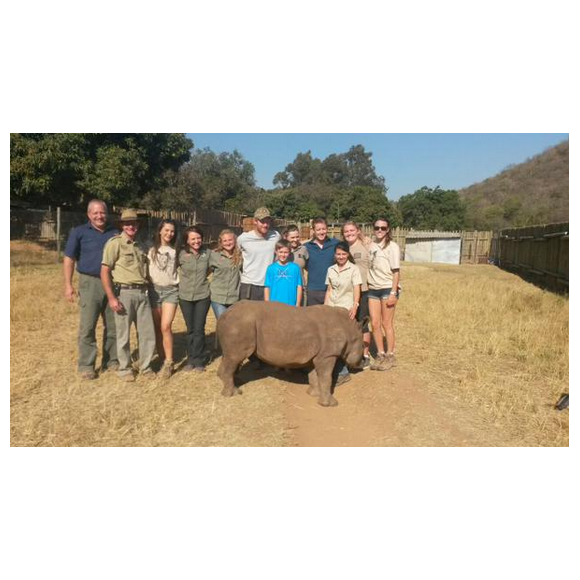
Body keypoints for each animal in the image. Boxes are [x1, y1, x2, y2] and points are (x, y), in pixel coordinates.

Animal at [219, 300, 368, 408]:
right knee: (235, 357)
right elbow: (326, 377)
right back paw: (233, 393)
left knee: (229, 357)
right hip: (239, 325)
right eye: (363, 346)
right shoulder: (327, 355)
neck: (350, 329)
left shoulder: (317, 355)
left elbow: (314, 375)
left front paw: (313, 394)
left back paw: (234, 385)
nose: (362, 362)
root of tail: (224, 315)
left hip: (238, 324)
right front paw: (330, 404)